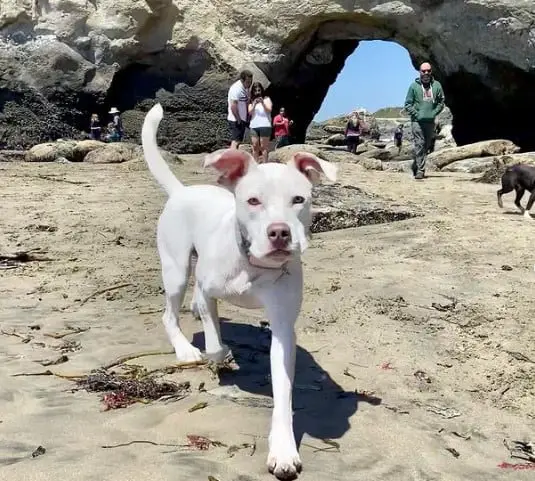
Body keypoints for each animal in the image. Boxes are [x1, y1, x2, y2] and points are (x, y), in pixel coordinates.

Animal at [140, 103, 338, 478]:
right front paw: (218, 354)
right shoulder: (208, 290)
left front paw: (283, 449)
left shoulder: (282, 329)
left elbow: (283, 391)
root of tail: (182, 191)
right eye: (253, 201)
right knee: (170, 314)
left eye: (298, 200)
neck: (253, 266)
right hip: (176, 270)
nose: (280, 232)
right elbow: (215, 340)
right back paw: (186, 349)